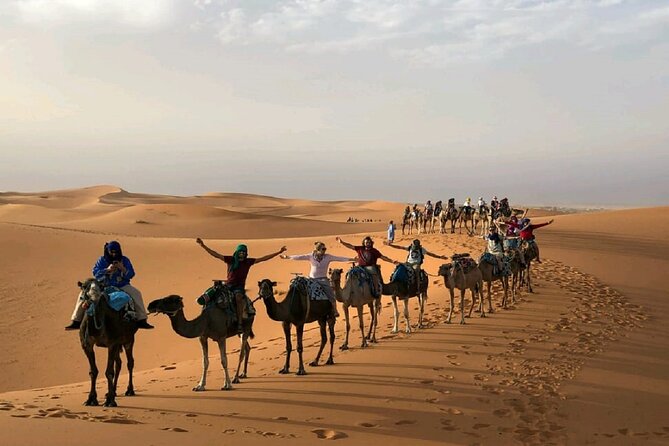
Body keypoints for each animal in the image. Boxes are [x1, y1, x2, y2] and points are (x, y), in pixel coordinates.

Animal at [76, 278, 138, 408]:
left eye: (101, 286)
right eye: (84, 286)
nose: (94, 296)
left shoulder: (112, 343)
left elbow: (109, 372)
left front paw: (110, 401)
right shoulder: (86, 345)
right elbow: (93, 371)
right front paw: (91, 399)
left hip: (129, 339)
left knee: (130, 362)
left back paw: (129, 390)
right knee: (118, 363)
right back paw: (113, 391)